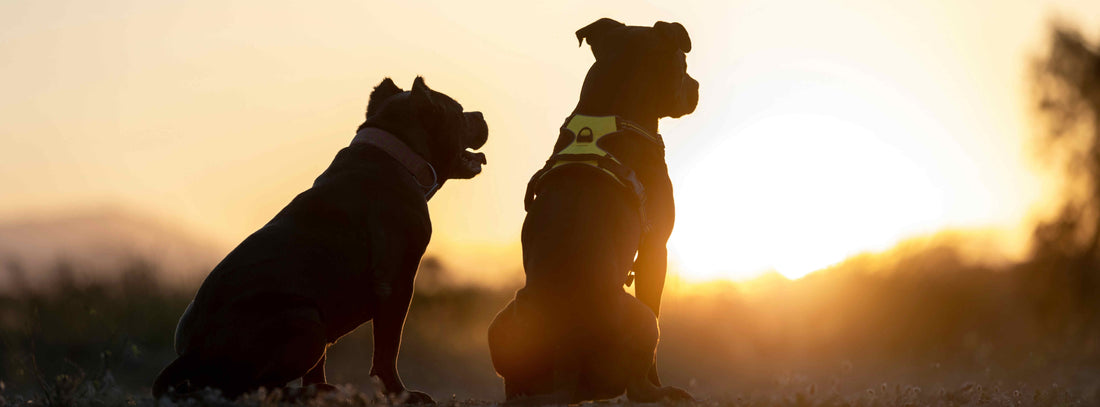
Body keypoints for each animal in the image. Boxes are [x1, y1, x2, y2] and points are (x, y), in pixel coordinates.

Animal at [152, 75, 488, 400]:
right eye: (459, 112)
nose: (481, 115)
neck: (396, 155)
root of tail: (192, 353)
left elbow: (323, 363)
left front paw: (321, 384)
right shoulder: (396, 285)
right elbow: (387, 351)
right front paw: (400, 393)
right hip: (306, 319)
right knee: (246, 387)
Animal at [488, 18, 699, 404]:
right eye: (683, 63)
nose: (696, 87)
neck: (611, 107)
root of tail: (566, 359)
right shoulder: (655, 249)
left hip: (502, 322)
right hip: (644, 321)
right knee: (638, 384)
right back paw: (667, 392)